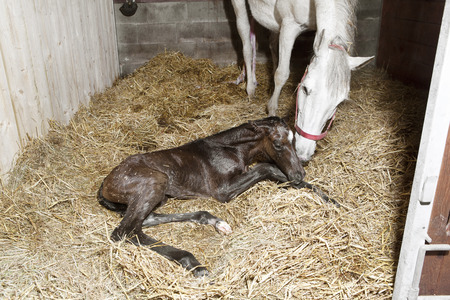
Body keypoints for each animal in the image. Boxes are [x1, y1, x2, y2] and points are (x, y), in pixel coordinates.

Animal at [230, 0, 374, 162]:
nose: (303, 155)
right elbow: (282, 74)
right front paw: (271, 109)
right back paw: (250, 88)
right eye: (305, 89)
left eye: (339, 103)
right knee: (247, 44)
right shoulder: (289, 25)